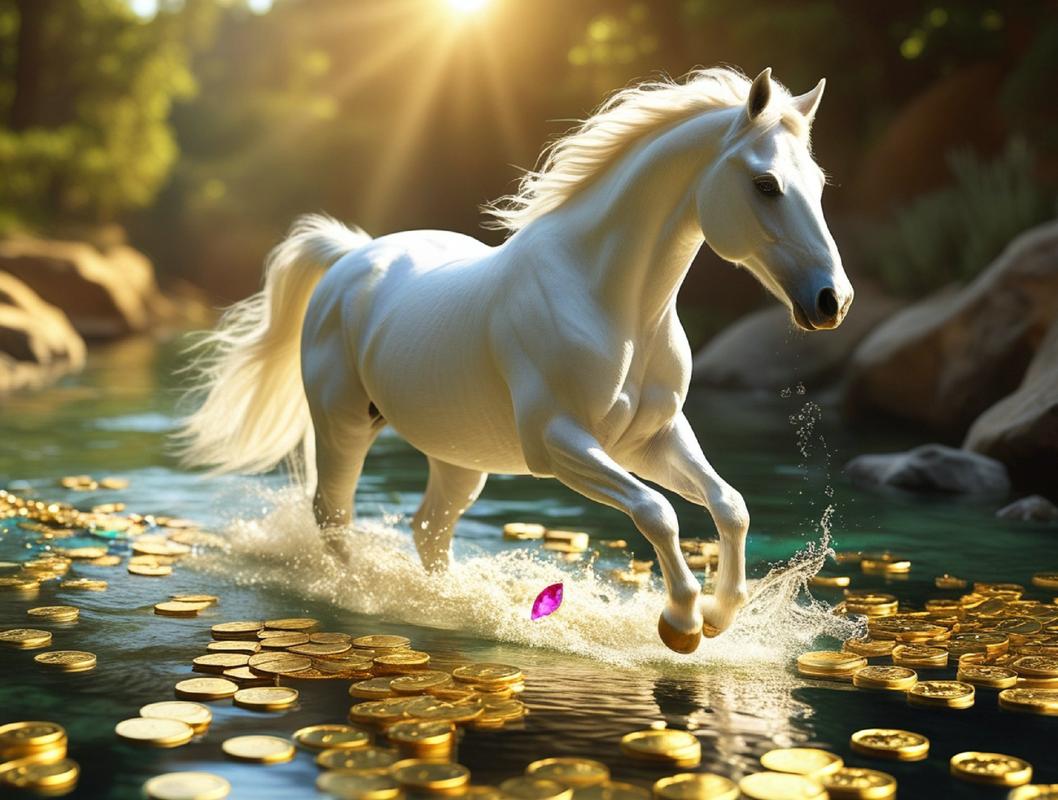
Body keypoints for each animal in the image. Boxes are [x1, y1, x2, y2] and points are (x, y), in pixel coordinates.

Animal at [178, 67, 853, 654]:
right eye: (765, 184)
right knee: (334, 516)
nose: (833, 301)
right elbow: (657, 512)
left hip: (457, 455)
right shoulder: (560, 444)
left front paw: (718, 615)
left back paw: (446, 605)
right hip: (342, 425)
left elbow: (729, 505)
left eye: (820, 185)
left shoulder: (651, 440)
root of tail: (352, 254)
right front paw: (681, 624)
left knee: (429, 528)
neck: (613, 305)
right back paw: (364, 595)